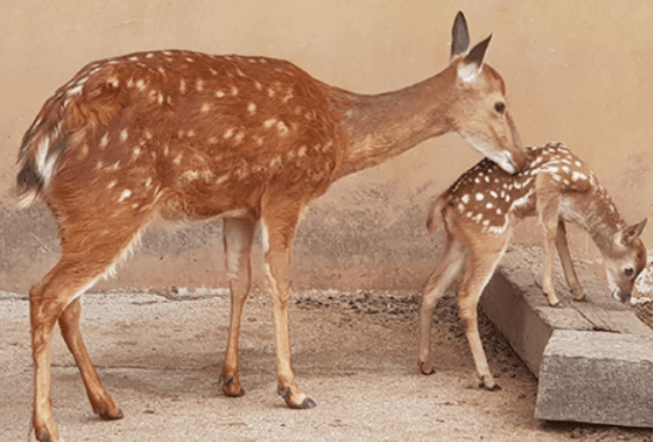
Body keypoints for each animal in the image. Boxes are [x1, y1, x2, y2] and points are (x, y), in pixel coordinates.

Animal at [15, 11, 524, 442]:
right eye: (500, 105)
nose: (519, 161)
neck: (339, 131)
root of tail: (44, 131)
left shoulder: (240, 207)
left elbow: (239, 281)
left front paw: (231, 380)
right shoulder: (286, 191)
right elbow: (279, 282)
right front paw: (293, 390)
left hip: (82, 215)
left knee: (69, 303)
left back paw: (106, 405)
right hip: (112, 203)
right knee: (45, 295)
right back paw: (47, 426)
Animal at [418, 142, 648, 390]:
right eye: (629, 269)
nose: (625, 297)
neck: (584, 200)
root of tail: (445, 200)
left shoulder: (559, 209)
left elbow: (561, 235)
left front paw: (578, 291)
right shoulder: (551, 181)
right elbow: (550, 231)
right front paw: (552, 296)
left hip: (458, 242)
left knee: (432, 286)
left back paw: (426, 364)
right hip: (491, 239)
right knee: (467, 294)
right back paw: (487, 377)